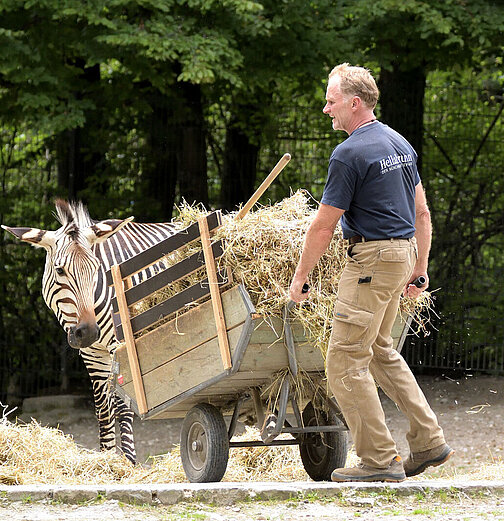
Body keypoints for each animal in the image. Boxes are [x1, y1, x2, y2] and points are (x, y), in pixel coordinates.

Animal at [1, 200, 176, 464]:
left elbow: (123, 405)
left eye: (96, 269)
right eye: (60, 271)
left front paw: (128, 463)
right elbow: (103, 408)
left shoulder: (120, 346)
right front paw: (106, 459)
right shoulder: (92, 353)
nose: (90, 332)